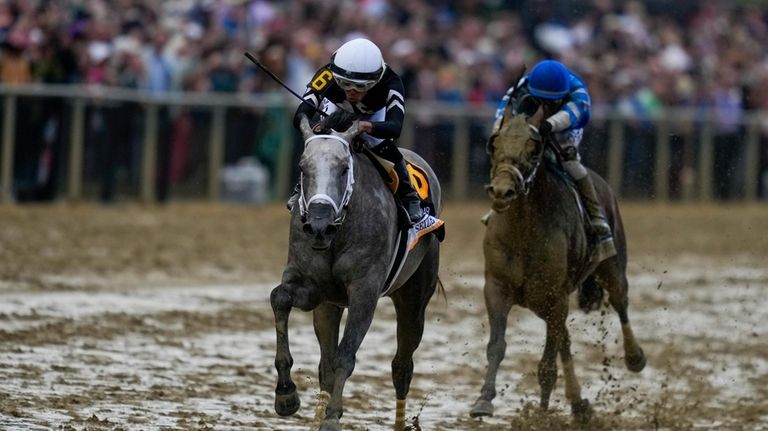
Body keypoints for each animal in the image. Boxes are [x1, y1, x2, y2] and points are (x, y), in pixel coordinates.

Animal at [270, 115, 440, 431]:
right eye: (302, 167)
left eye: (343, 168)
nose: (319, 225)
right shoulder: (314, 289)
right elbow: (279, 298)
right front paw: (286, 395)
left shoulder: (365, 292)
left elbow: (345, 355)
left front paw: (332, 417)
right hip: (328, 307)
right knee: (325, 362)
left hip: (414, 300)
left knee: (402, 367)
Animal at [472, 109, 644, 426]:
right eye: (494, 144)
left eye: (534, 148)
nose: (502, 191)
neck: (523, 232)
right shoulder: (497, 289)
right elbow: (497, 346)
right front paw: (483, 401)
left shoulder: (555, 297)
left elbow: (547, 366)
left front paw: (540, 416)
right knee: (564, 337)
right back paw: (578, 404)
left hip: (611, 266)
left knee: (620, 302)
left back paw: (635, 357)